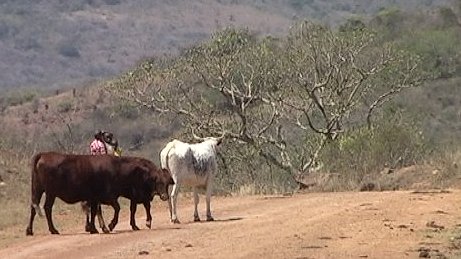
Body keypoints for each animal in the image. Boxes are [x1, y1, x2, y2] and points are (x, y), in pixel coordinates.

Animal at [27, 151, 174, 237]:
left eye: (167, 183)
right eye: (158, 181)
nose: (164, 196)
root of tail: (43, 154)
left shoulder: (96, 198)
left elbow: (94, 212)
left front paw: (93, 228)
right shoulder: (110, 196)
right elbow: (117, 209)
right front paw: (110, 225)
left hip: (37, 190)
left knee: (33, 208)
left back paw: (29, 230)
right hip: (50, 193)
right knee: (47, 208)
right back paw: (53, 230)